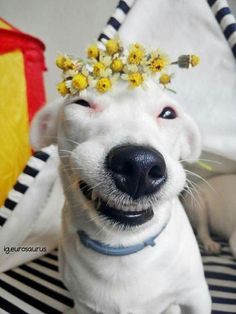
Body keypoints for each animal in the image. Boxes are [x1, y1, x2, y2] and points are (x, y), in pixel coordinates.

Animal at [30, 79, 210, 314]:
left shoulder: (196, 296)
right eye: (81, 103)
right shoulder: (84, 306)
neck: (123, 246)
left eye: (169, 113)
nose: (139, 165)